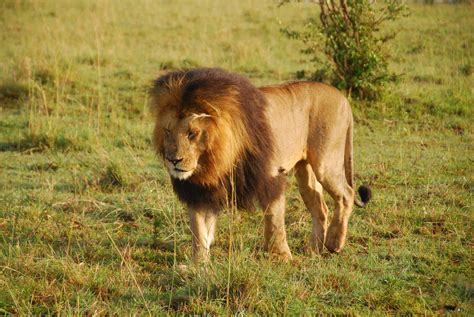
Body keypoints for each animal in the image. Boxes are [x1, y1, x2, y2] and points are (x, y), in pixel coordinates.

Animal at [150, 67, 372, 262]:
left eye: (192, 133)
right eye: (168, 131)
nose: (173, 160)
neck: (214, 160)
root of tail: (342, 97)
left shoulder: (270, 175)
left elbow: (274, 219)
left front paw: (281, 257)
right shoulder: (200, 190)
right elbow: (198, 228)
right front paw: (198, 264)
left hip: (326, 162)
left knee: (347, 194)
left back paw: (334, 243)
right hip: (305, 172)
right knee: (321, 208)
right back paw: (313, 250)